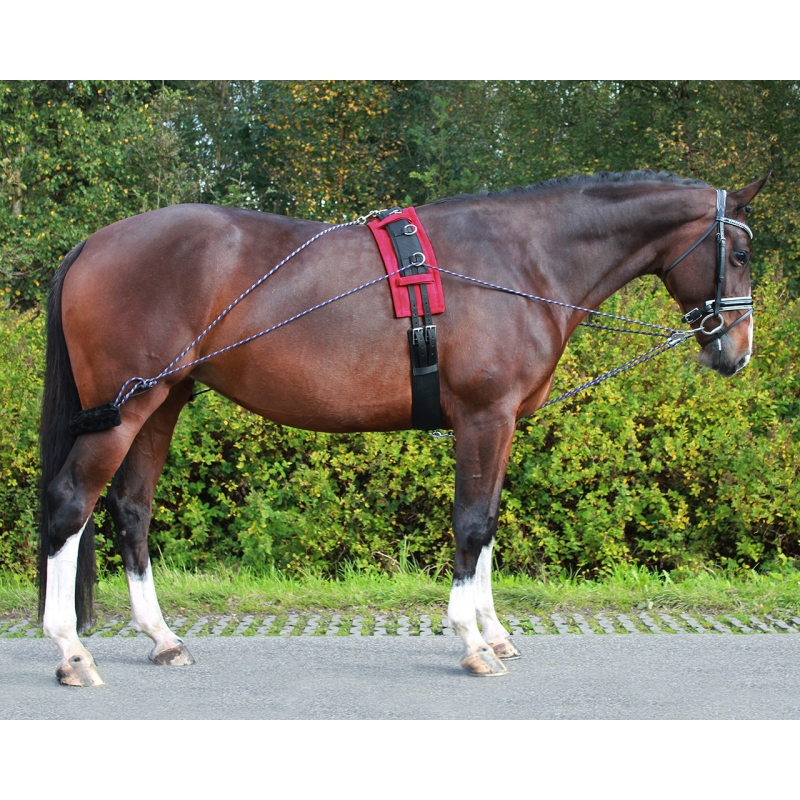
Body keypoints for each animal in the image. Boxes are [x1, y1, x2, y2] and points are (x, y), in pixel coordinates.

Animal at [37, 170, 767, 685]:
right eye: (737, 252)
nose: (737, 352)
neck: (521, 259)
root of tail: (93, 242)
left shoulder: (500, 425)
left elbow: (489, 524)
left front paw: (494, 631)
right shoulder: (483, 417)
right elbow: (470, 524)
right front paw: (472, 642)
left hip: (164, 402)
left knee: (130, 510)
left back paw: (162, 639)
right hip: (129, 408)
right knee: (71, 502)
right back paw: (71, 652)